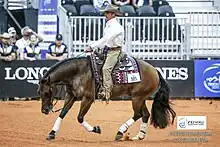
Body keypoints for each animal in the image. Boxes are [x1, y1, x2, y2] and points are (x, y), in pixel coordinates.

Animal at [37, 53, 175, 141]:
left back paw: (120, 132)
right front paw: (52, 133)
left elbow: (80, 118)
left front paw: (96, 129)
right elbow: (63, 113)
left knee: (138, 114)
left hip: (137, 98)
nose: (44, 110)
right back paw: (139, 136)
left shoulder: (88, 99)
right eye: (39, 92)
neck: (78, 72)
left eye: (47, 93)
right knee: (145, 114)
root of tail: (155, 71)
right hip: (140, 98)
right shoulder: (71, 96)